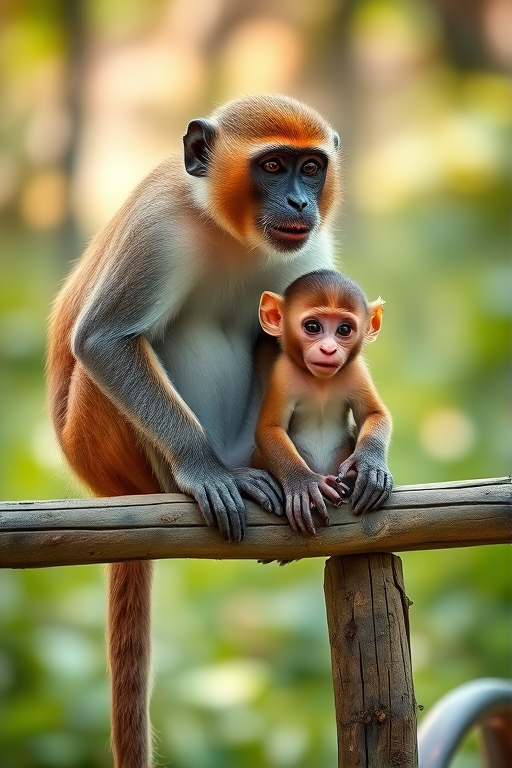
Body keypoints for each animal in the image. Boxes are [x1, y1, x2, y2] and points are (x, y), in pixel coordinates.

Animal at [46, 95, 341, 768]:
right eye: (274, 165)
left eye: (311, 167)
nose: (299, 202)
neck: (230, 228)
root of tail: (108, 489)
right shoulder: (158, 229)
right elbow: (104, 340)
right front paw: (201, 467)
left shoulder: (310, 252)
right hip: (101, 440)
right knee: (155, 335)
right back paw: (210, 472)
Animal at [254, 269, 393, 537]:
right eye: (313, 326)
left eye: (344, 329)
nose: (328, 349)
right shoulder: (283, 374)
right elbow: (268, 429)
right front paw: (302, 482)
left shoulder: (355, 370)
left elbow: (374, 413)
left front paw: (369, 464)